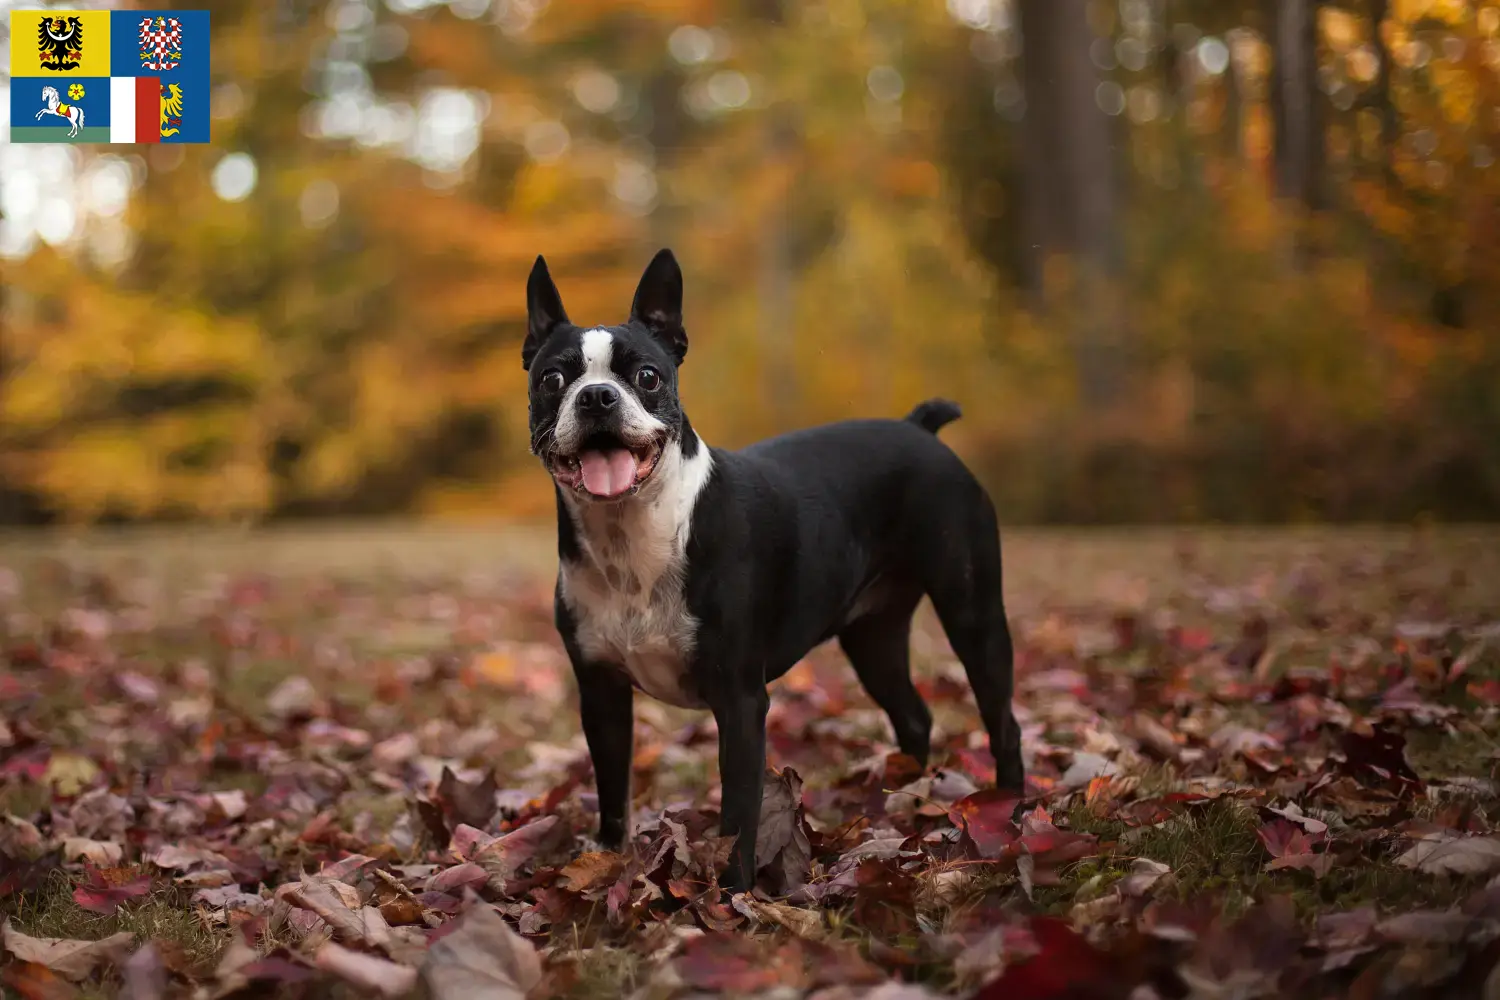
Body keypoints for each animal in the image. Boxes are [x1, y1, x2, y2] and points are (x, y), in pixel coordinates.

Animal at [522, 248, 1026, 893]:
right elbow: (613, 793)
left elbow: (740, 812)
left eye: (647, 376)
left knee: (1001, 717)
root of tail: (918, 428)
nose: (597, 397)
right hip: (874, 636)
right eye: (553, 379)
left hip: (972, 612)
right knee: (912, 714)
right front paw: (607, 863)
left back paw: (1010, 813)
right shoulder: (601, 694)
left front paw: (732, 895)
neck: (631, 537)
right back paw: (897, 806)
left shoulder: (740, 701)